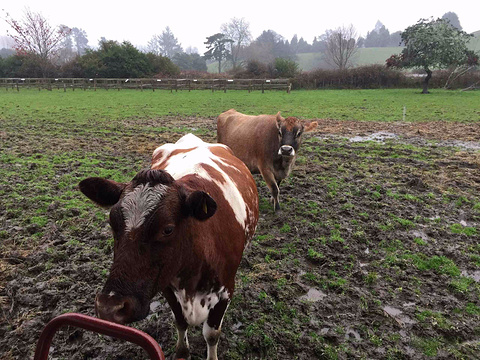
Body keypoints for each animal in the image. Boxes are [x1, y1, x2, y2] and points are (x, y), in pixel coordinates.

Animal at [79, 134, 258, 358]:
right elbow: (180, 322)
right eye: (112, 222)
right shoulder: (166, 285)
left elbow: (211, 334)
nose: (109, 307)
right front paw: (182, 352)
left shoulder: (226, 290)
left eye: (167, 229)